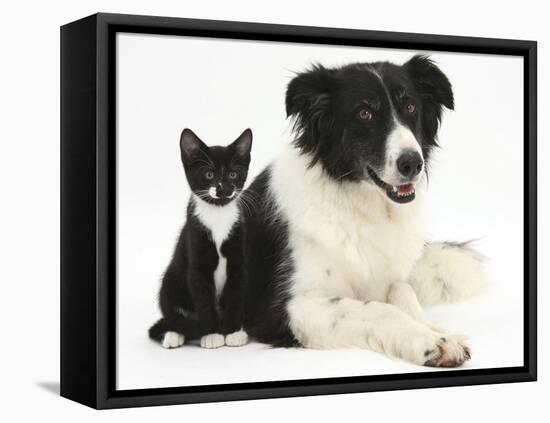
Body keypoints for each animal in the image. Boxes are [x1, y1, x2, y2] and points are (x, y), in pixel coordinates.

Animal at [148, 129, 253, 352]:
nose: (223, 189)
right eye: (209, 175)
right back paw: (173, 334)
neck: (218, 215)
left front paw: (232, 332)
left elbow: (235, 295)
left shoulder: (238, 260)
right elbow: (204, 299)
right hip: (170, 281)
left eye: (233, 174)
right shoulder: (197, 258)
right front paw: (212, 334)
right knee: (172, 313)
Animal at [242, 55, 488, 368]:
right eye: (364, 113)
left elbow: (403, 292)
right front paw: (429, 342)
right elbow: (378, 310)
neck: (364, 207)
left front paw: (437, 331)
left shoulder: (391, 276)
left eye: (410, 107)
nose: (412, 163)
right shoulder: (288, 307)